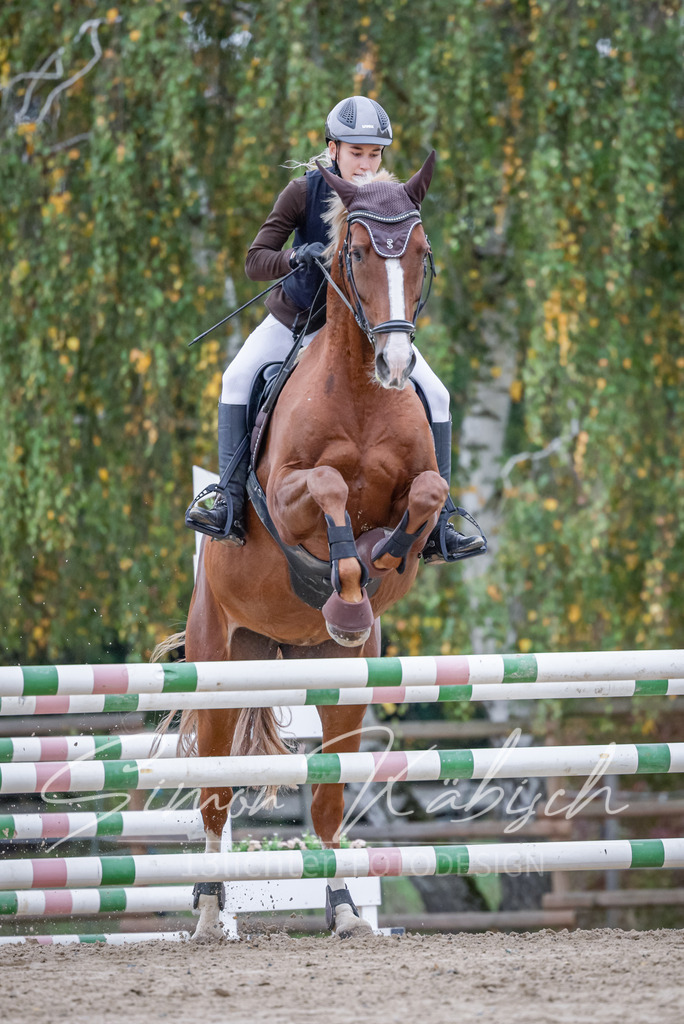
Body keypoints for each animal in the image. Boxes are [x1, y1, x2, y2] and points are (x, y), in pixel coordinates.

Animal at [173, 152, 451, 941]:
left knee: (327, 803)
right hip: (218, 667)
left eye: (421, 253)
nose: (396, 361)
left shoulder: (423, 481)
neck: (360, 392)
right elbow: (326, 487)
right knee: (215, 796)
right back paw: (211, 911)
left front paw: (379, 564)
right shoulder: (289, 491)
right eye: (353, 254)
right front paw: (347, 579)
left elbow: (427, 497)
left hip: (340, 686)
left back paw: (347, 908)